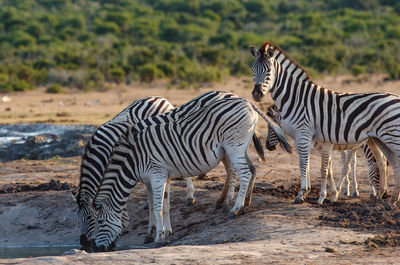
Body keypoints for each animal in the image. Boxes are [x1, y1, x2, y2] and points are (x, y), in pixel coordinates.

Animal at [90, 94, 290, 250]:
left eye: (100, 222)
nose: (96, 248)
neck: (134, 159)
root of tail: (246, 101)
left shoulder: (157, 174)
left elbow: (157, 206)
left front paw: (158, 237)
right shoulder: (158, 178)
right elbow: (163, 205)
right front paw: (164, 233)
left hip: (233, 146)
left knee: (244, 173)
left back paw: (234, 209)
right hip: (241, 146)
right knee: (250, 169)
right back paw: (243, 205)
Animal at [248, 41, 398, 204]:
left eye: (268, 70)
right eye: (253, 70)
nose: (256, 94)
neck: (296, 98)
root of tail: (395, 96)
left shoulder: (304, 134)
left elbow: (306, 164)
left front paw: (302, 194)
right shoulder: (310, 139)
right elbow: (314, 166)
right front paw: (321, 194)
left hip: (392, 137)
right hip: (377, 139)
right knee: (385, 162)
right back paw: (387, 196)